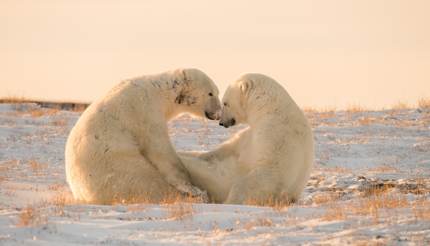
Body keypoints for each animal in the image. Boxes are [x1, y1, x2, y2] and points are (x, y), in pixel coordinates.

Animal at [67, 68, 223, 205]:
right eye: (210, 93)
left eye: (216, 92)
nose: (219, 113)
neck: (160, 93)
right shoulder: (146, 112)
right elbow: (160, 150)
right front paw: (192, 187)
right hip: (119, 166)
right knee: (149, 182)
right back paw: (194, 196)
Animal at [180, 74, 314, 205]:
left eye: (225, 103)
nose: (221, 122)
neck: (269, 110)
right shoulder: (250, 134)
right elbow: (228, 149)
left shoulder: (277, 134)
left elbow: (269, 171)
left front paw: (231, 200)